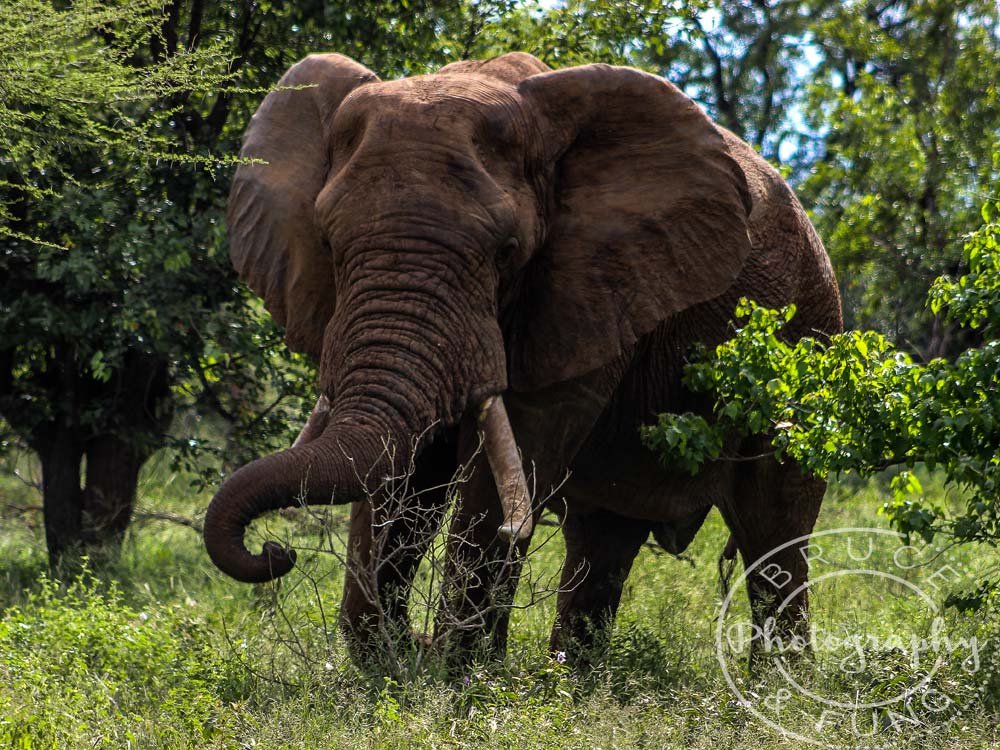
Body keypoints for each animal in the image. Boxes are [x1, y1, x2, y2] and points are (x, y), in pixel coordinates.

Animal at [203, 50, 844, 668]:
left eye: (506, 252)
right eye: (329, 245)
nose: (276, 549)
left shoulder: (589, 290)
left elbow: (496, 483)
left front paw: (460, 676)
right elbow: (409, 476)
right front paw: (403, 659)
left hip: (809, 337)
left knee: (774, 530)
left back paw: (775, 685)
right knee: (604, 537)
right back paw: (570, 682)